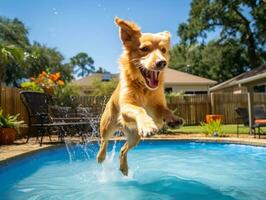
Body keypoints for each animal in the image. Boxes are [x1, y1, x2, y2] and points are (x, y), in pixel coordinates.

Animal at [97, 16, 183, 175]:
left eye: (163, 50)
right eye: (144, 49)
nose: (162, 62)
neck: (144, 87)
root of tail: (122, 127)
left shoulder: (156, 107)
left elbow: (165, 110)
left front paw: (173, 119)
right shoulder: (126, 106)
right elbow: (139, 109)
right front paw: (147, 124)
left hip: (135, 136)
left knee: (123, 150)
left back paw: (124, 167)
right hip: (107, 126)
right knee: (103, 142)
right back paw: (101, 157)